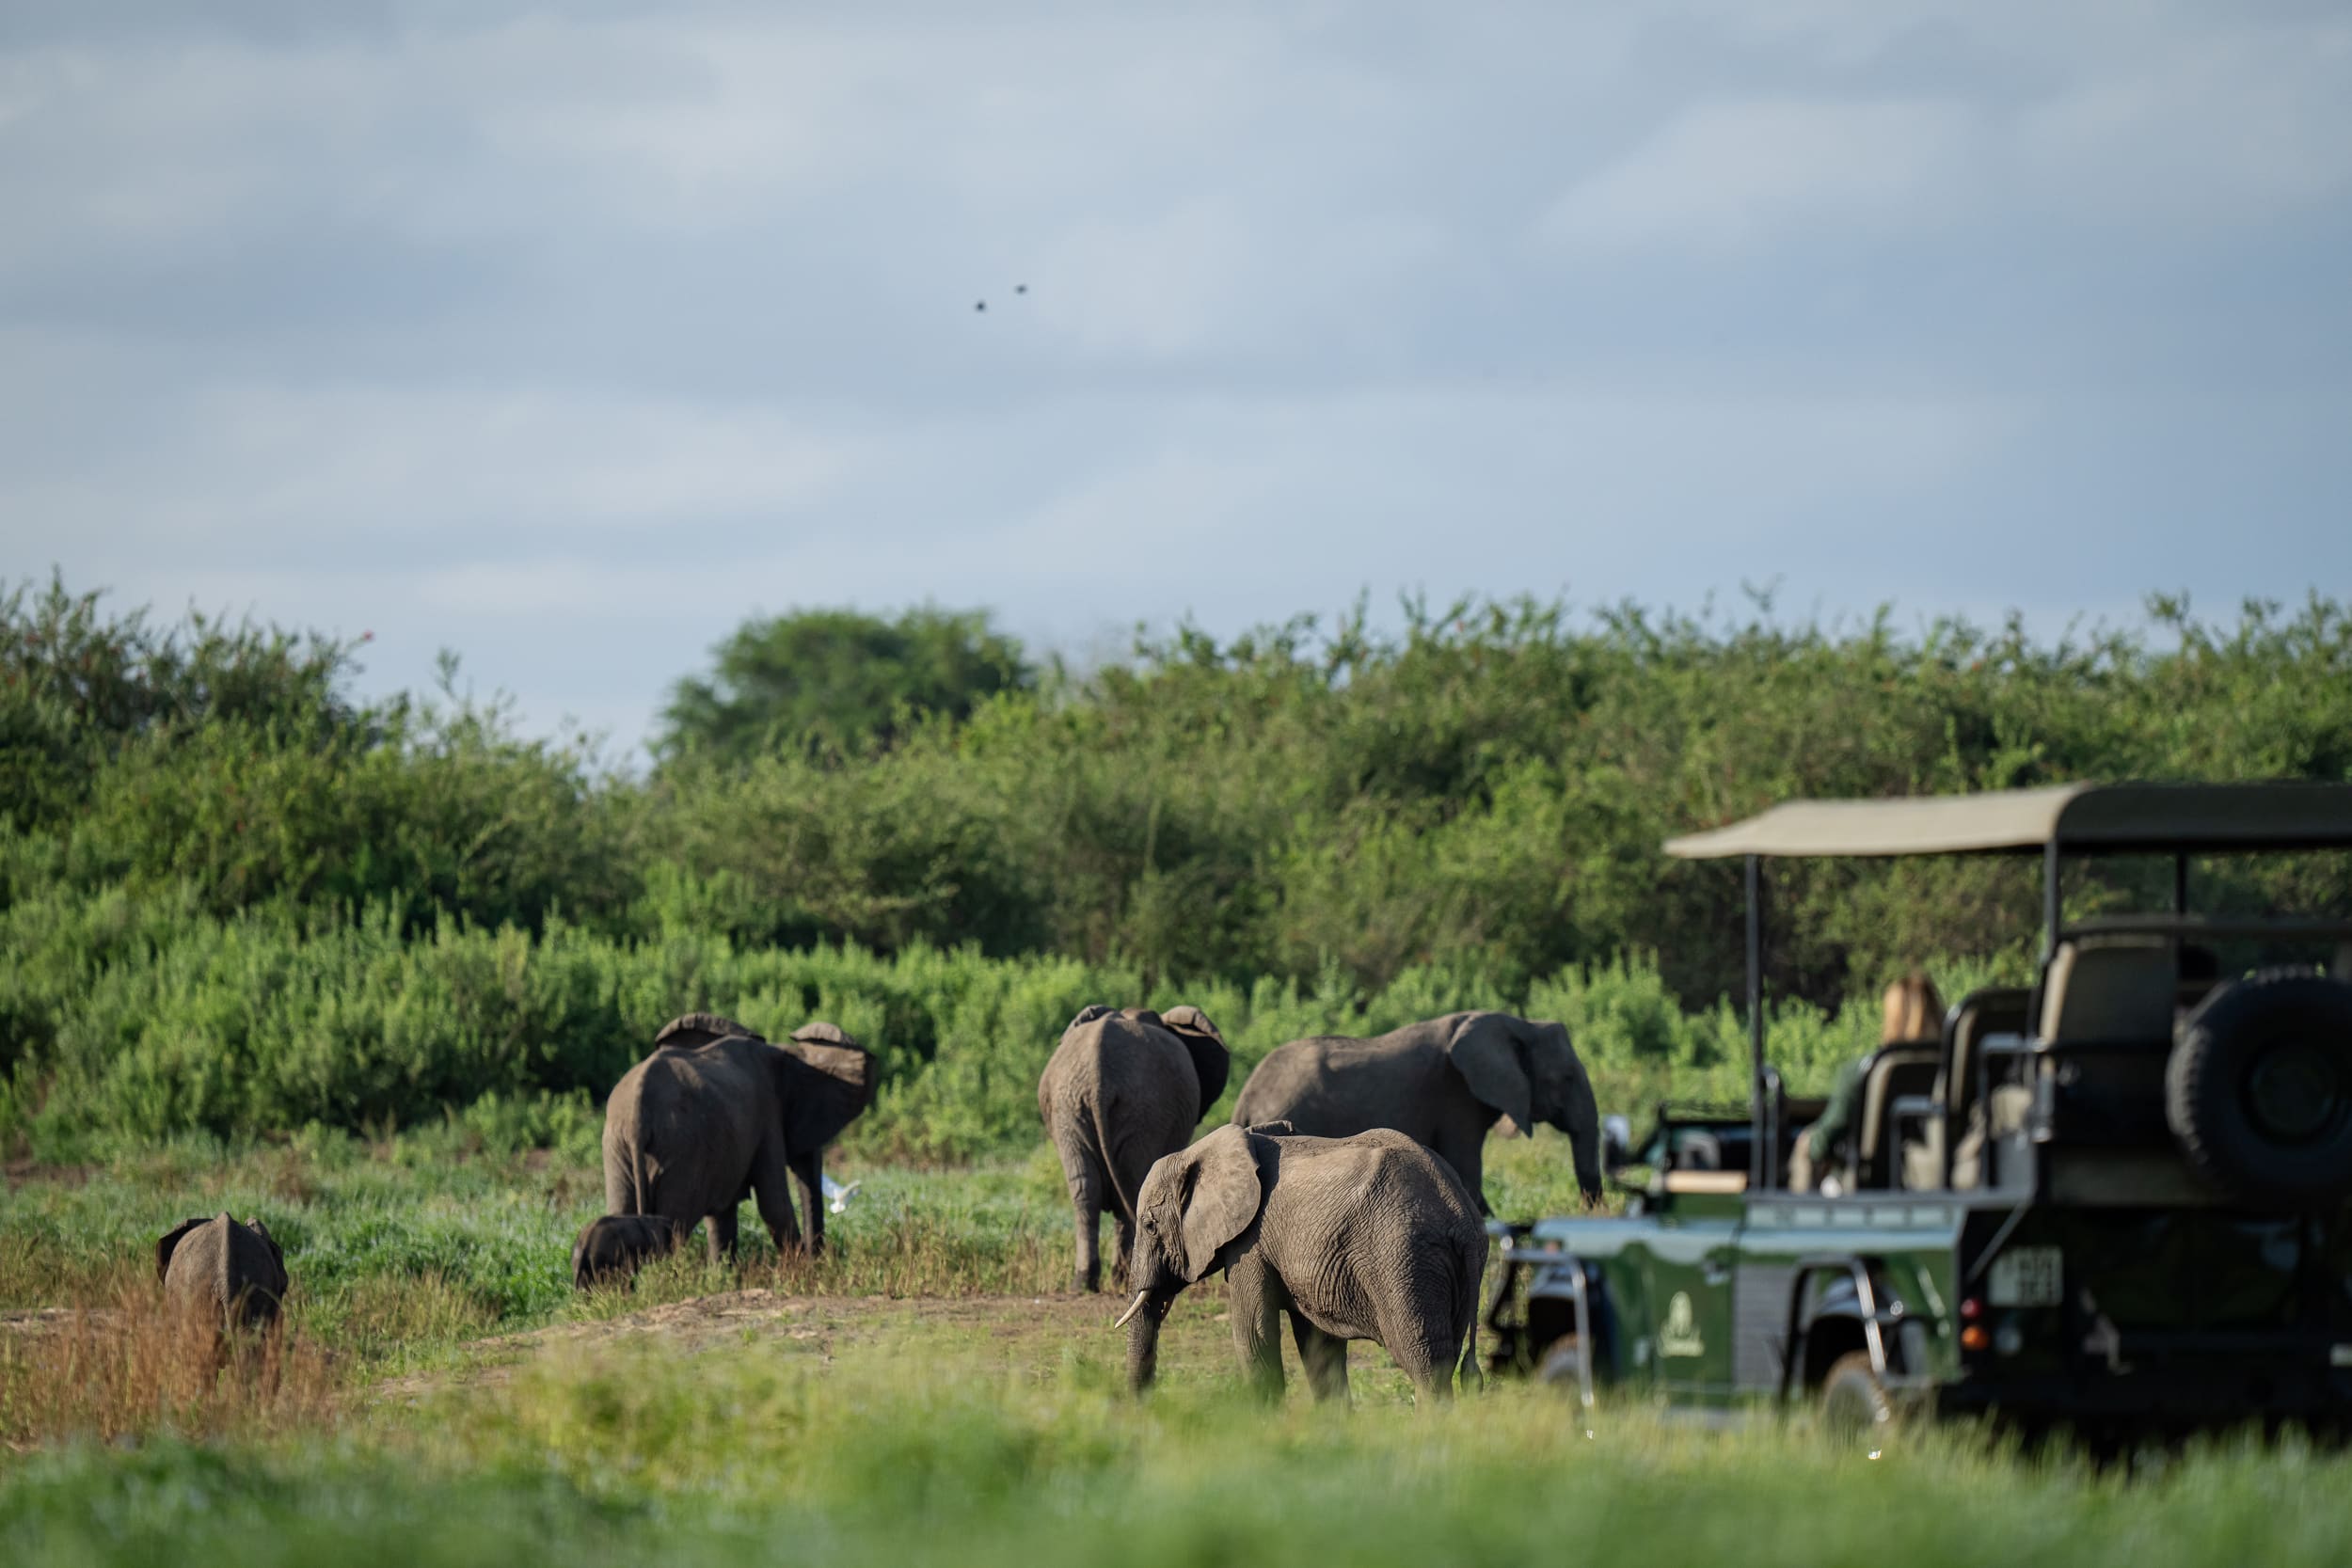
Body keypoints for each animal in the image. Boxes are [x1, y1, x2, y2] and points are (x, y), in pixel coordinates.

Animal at [602, 1020, 880, 1259]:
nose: (820, 1260)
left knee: (622, 1214)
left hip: (618, 1150)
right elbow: (774, 1204)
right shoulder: (767, 1115)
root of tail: (637, 1115)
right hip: (679, 1149)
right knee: (673, 1229)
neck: (784, 1054)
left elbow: (722, 1218)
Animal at [1044, 1010, 1242, 1297]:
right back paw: (1116, 1278)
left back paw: (1089, 1282)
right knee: (1128, 1186)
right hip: (1137, 1112)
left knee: (1087, 1190)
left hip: (1077, 1111)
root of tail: (1097, 1076)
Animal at [1110, 1123, 1477, 1401]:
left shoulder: (1252, 1241)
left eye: (1149, 1226)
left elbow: (1253, 1335)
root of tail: (1461, 1213)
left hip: (1404, 1261)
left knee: (1424, 1360)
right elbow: (1320, 1346)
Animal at [1232, 1010, 1599, 1222]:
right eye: (1567, 1078)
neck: (1520, 1025)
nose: (1589, 1211)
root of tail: (1246, 1094)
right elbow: (1465, 1168)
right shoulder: (1456, 1094)